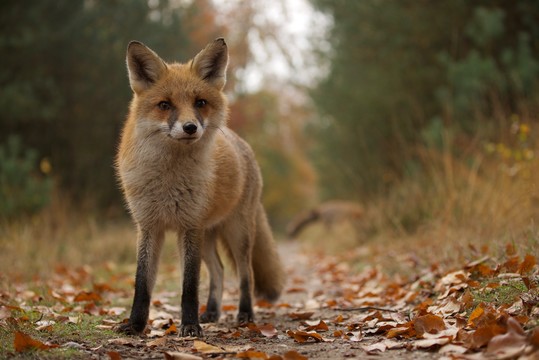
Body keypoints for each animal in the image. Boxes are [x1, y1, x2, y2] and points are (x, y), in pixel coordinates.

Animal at [115, 38, 284, 336]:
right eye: (165, 105)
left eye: (200, 103)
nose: (190, 127)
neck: (168, 181)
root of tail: (241, 142)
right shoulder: (149, 226)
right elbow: (142, 284)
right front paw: (135, 325)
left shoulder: (189, 226)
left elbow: (189, 286)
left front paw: (191, 326)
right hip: (207, 237)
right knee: (219, 270)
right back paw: (213, 312)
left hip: (237, 232)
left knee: (246, 274)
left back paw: (245, 314)